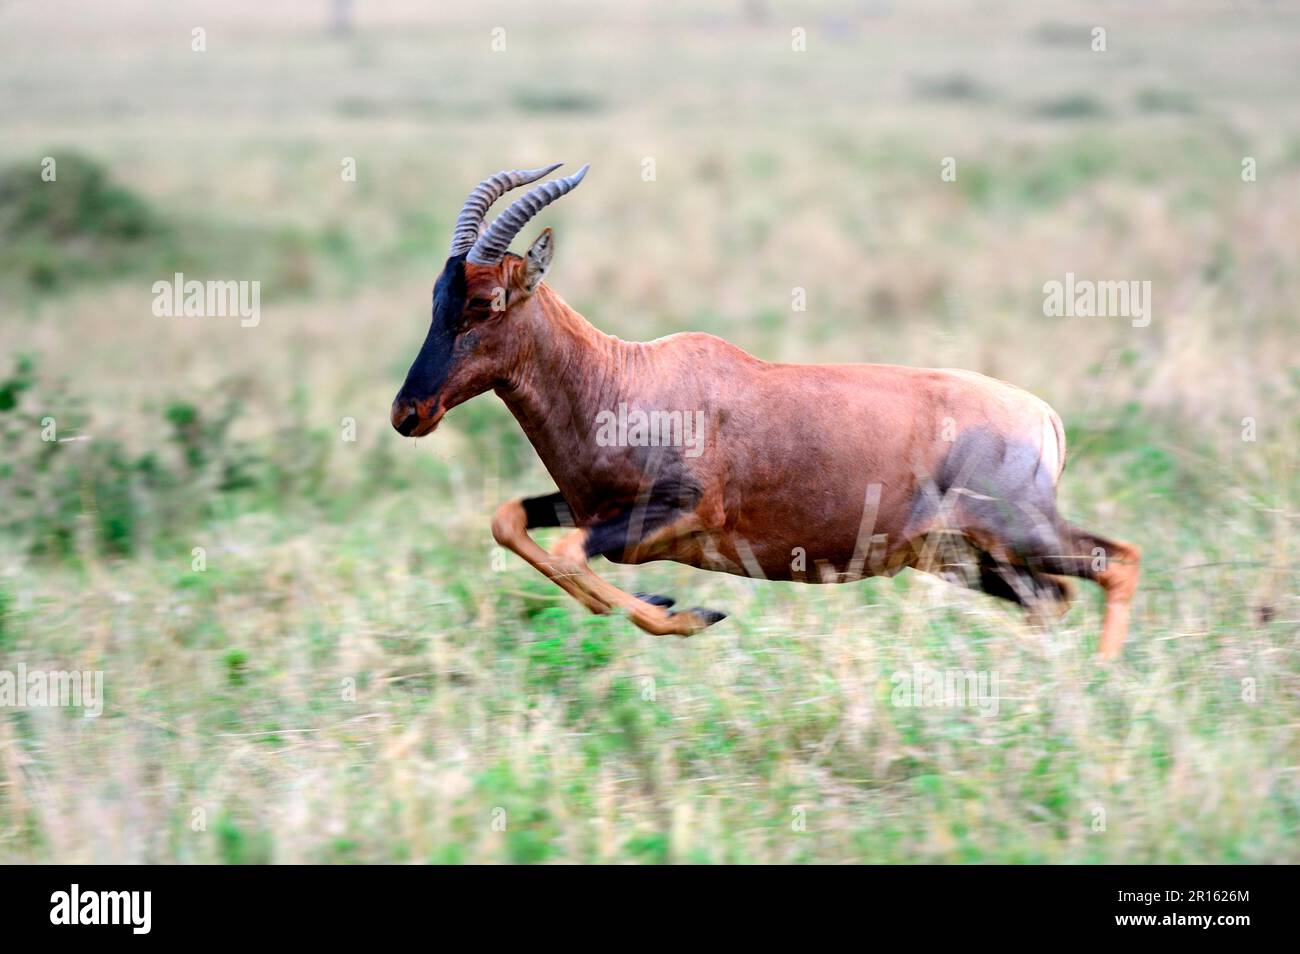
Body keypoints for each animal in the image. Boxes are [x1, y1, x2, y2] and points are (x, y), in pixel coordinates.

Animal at [390, 164, 1144, 657]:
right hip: (968, 558)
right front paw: (670, 604)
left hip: (1022, 531)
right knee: (1054, 599)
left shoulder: (679, 512)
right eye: (436, 295)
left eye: (485, 302)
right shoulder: (591, 508)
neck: (625, 377)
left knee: (1119, 561)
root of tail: (1044, 417)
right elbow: (511, 522)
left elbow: (571, 551)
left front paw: (691, 614)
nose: (408, 412)